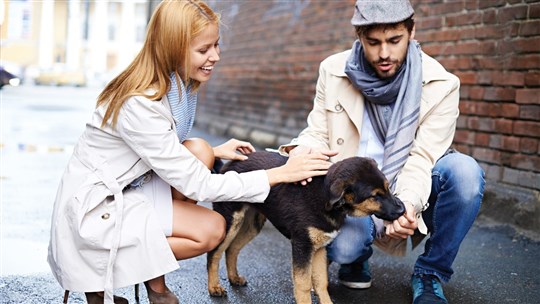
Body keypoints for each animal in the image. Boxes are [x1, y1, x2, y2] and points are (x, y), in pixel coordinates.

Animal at [207, 151, 404, 302]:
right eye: (374, 196)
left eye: (387, 187)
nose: (403, 209)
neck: (325, 196)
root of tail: (228, 164)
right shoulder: (302, 245)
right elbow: (303, 284)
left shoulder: (320, 247)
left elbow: (321, 282)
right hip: (230, 220)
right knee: (214, 253)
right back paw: (214, 287)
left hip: (252, 223)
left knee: (232, 249)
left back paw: (234, 278)